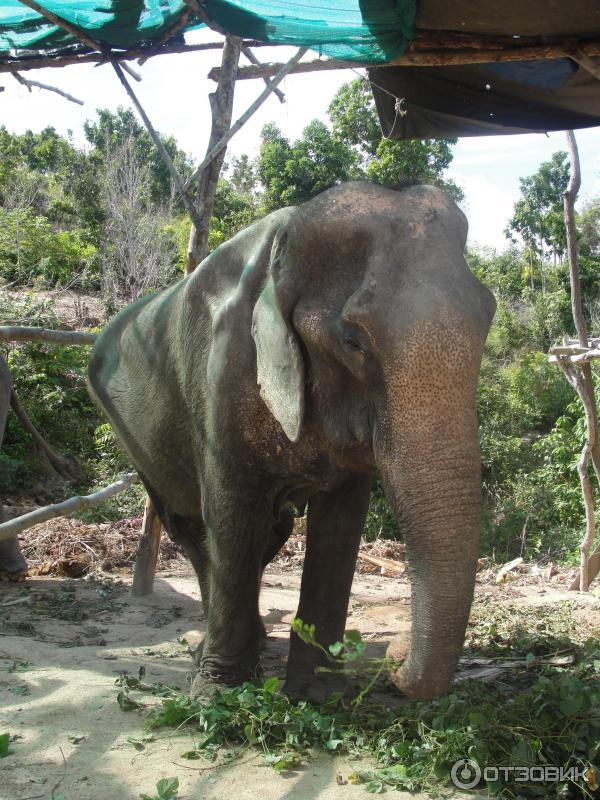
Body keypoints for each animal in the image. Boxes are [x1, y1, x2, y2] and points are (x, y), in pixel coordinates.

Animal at [86, 181, 494, 700]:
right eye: (352, 340)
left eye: (489, 316)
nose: (396, 658)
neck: (285, 246)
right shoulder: (223, 369)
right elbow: (232, 515)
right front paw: (218, 695)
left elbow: (339, 527)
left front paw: (318, 695)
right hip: (134, 439)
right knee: (192, 525)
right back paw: (211, 654)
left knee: (270, 529)